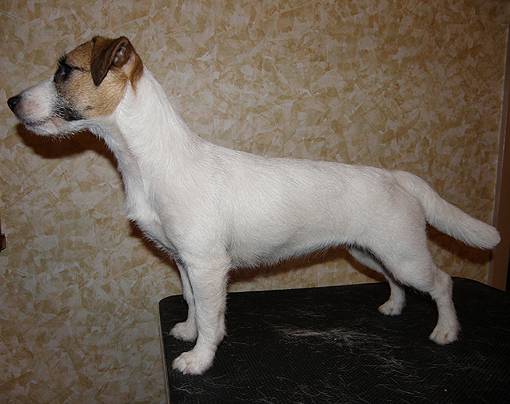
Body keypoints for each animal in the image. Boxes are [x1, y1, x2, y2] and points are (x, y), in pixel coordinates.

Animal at [8, 36, 500, 375]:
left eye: (65, 70)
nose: (11, 101)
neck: (153, 160)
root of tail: (398, 177)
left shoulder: (208, 265)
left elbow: (212, 317)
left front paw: (199, 358)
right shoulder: (187, 262)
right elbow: (192, 302)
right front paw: (188, 332)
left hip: (404, 254)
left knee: (442, 282)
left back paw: (446, 330)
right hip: (369, 252)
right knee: (396, 283)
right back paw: (393, 308)